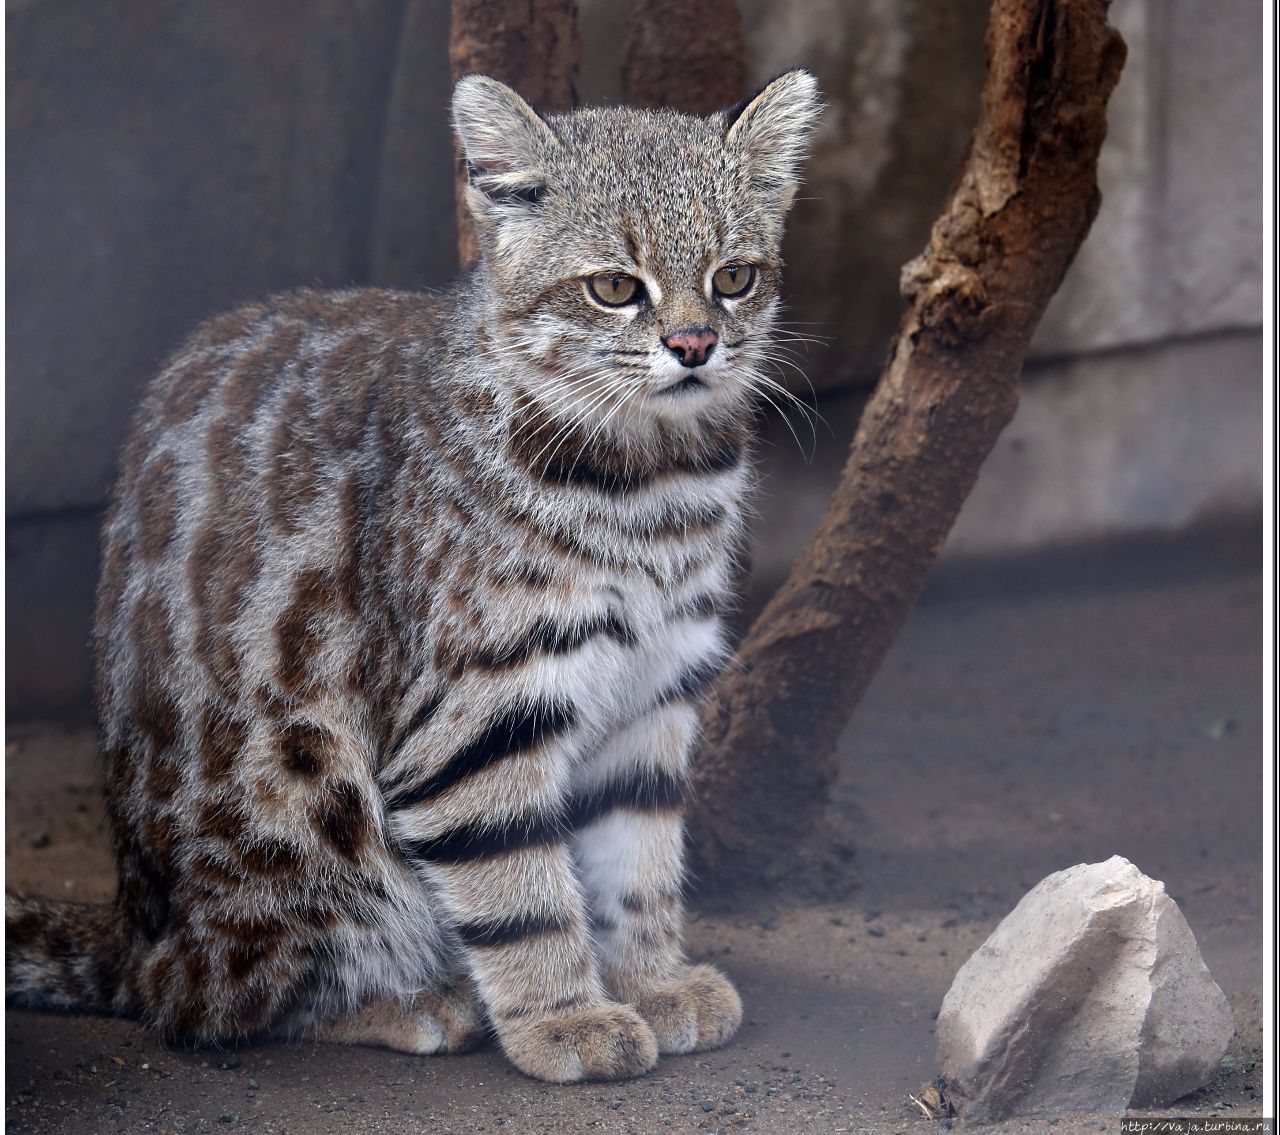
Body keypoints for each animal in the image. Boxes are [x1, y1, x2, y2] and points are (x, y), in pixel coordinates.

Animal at [7, 66, 819, 1079]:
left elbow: (639, 859)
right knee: (209, 1003)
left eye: (734, 277)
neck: (648, 484)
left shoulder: (654, 685)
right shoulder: (480, 712)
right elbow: (521, 888)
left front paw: (650, 977)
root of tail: (134, 929)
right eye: (614, 288)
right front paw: (565, 1015)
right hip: (306, 788)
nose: (696, 345)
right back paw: (410, 1001)